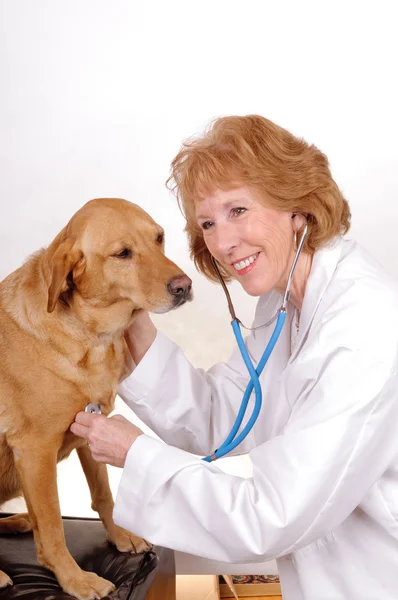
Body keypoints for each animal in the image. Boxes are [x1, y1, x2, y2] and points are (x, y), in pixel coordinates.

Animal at [0, 198, 191, 600]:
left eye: (159, 238)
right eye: (123, 253)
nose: (185, 286)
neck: (92, 338)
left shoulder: (91, 428)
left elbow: (103, 493)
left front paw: (120, 537)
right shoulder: (35, 450)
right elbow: (53, 526)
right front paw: (74, 579)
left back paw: (17, 522)